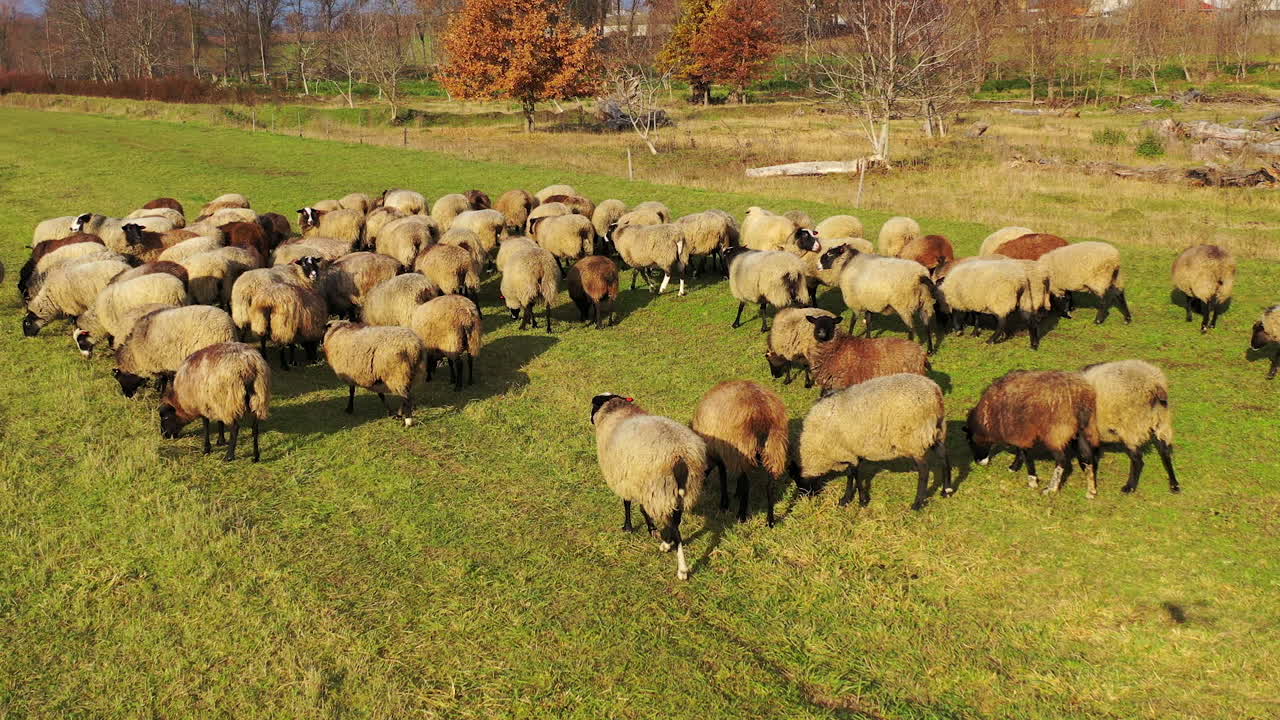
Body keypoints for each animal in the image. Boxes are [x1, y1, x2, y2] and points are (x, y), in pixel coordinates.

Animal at [590, 393, 707, 580]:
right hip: (681, 490)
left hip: (659, 488)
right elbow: (641, 508)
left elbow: (628, 504)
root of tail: (681, 455)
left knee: (676, 530)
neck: (616, 412)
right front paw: (650, 529)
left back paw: (681, 569)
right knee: (675, 522)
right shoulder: (637, 483)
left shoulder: (626, 480)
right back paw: (667, 544)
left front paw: (629, 528)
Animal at [690, 380, 789, 526]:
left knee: (747, 484)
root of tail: (762, 412)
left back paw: (741, 516)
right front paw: (736, 493)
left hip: (744, 448)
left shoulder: (722, 452)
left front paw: (724, 504)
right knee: (770, 486)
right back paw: (770, 521)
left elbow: (723, 476)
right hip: (774, 447)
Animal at [798, 373, 950, 511]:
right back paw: (946, 490)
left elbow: (853, 474)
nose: (807, 502)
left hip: (914, 438)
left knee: (924, 470)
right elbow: (854, 473)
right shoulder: (853, 450)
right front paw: (852, 499)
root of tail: (934, 391)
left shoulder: (844, 450)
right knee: (944, 457)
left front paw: (856, 500)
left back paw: (917, 503)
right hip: (937, 430)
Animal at [965, 370, 1100, 497]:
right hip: (1081, 431)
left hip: (1055, 433)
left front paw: (1032, 480)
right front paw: (1014, 468)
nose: (977, 462)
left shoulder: (1020, 432)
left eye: (970, 441)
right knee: (1087, 456)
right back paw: (1091, 490)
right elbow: (1020, 451)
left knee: (1062, 460)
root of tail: (1081, 397)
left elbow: (1024, 454)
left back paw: (1051, 489)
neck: (989, 417)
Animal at [1080, 360, 1179, 494]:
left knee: (1138, 459)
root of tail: (1154, 384)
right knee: (1166, 452)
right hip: (1161, 419)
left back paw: (1129, 487)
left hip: (1131, 426)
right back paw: (1174, 485)